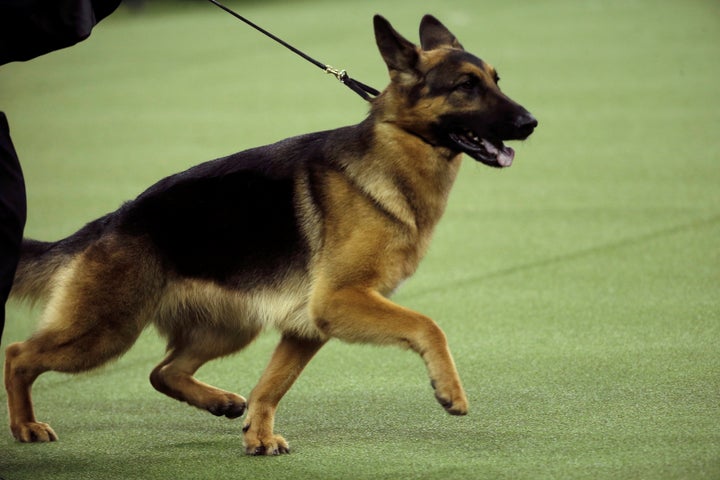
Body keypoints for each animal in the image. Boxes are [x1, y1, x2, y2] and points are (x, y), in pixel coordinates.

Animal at [5, 14, 536, 454]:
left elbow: (271, 385)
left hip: (229, 328)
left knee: (162, 371)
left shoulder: (307, 326)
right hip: (105, 331)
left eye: (496, 80)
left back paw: (219, 401)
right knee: (18, 356)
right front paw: (449, 389)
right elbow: (428, 324)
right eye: (466, 86)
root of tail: (113, 221)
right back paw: (24, 426)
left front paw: (257, 437)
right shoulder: (338, 301)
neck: (397, 150)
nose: (531, 122)